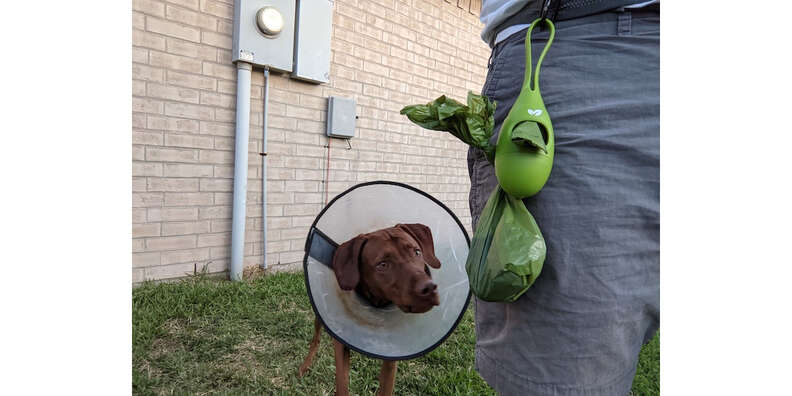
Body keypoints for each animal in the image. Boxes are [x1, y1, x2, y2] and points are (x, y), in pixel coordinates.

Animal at [300, 224, 442, 394]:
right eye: (382, 264)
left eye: (417, 252)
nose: (429, 288)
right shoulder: (341, 345)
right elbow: (342, 384)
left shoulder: (391, 358)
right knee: (316, 339)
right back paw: (305, 366)